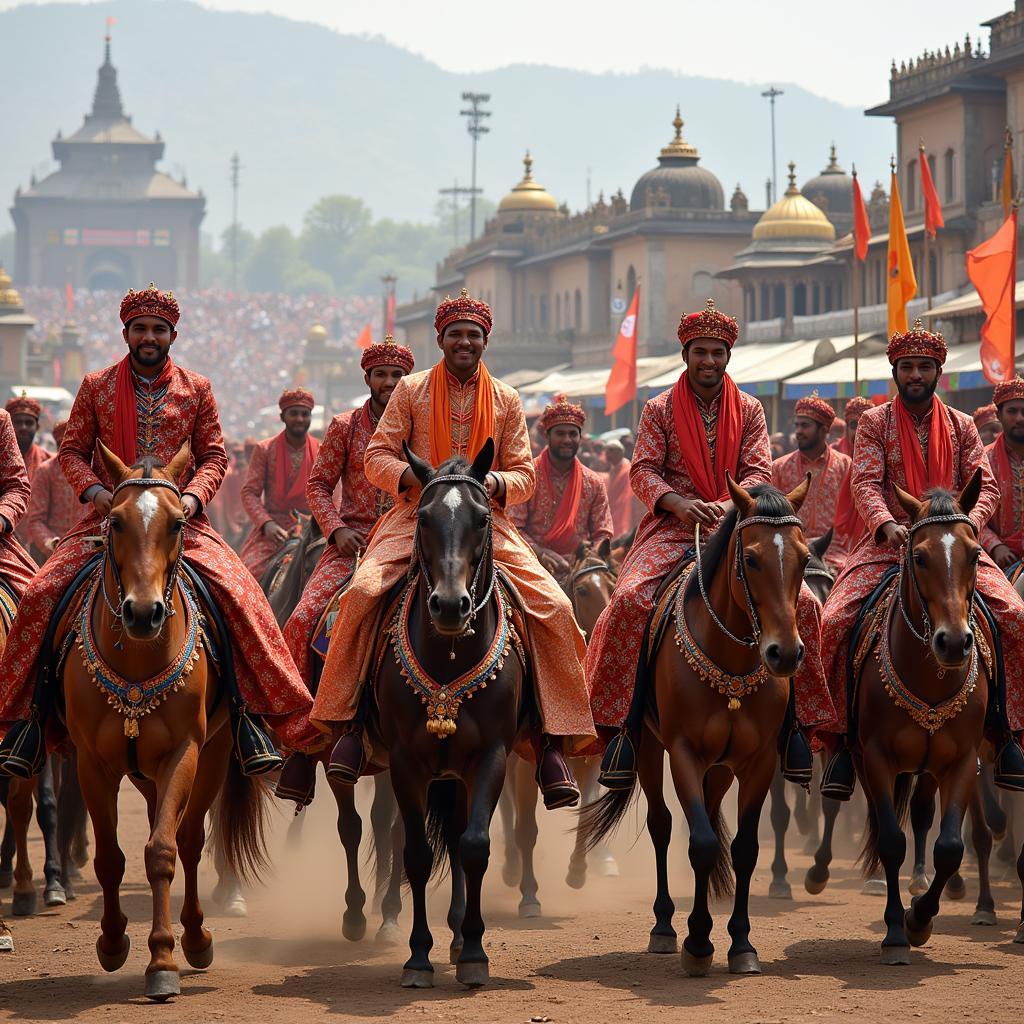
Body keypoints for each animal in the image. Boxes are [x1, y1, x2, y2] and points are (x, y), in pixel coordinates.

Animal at [58, 440, 270, 999]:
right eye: (114, 521)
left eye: (178, 523)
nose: (143, 613)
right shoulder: (91, 762)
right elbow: (110, 858)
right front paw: (112, 942)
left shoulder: (184, 752)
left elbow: (162, 851)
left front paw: (163, 960)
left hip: (214, 754)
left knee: (190, 841)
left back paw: (196, 937)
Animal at [372, 444, 524, 987]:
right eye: (423, 517)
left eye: (482, 518)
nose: (451, 606)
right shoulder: (403, 762)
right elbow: (415, 853)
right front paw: (418, 956)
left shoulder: (492, 756)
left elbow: (474, 845)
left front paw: (475, 952)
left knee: (460, 839)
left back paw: (460, 936)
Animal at [589, 473, 811, 974]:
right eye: (751, 559)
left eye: (805, 558)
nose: (784, 654)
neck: (729, 662)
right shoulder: (683, 753)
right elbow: (702, 844)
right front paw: (696, 941)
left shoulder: (758, 762)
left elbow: (744, 850)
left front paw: (741, 942)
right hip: (648, 750)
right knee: (663, 825)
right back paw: (665, 925)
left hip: (722, 767)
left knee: (707, 818)